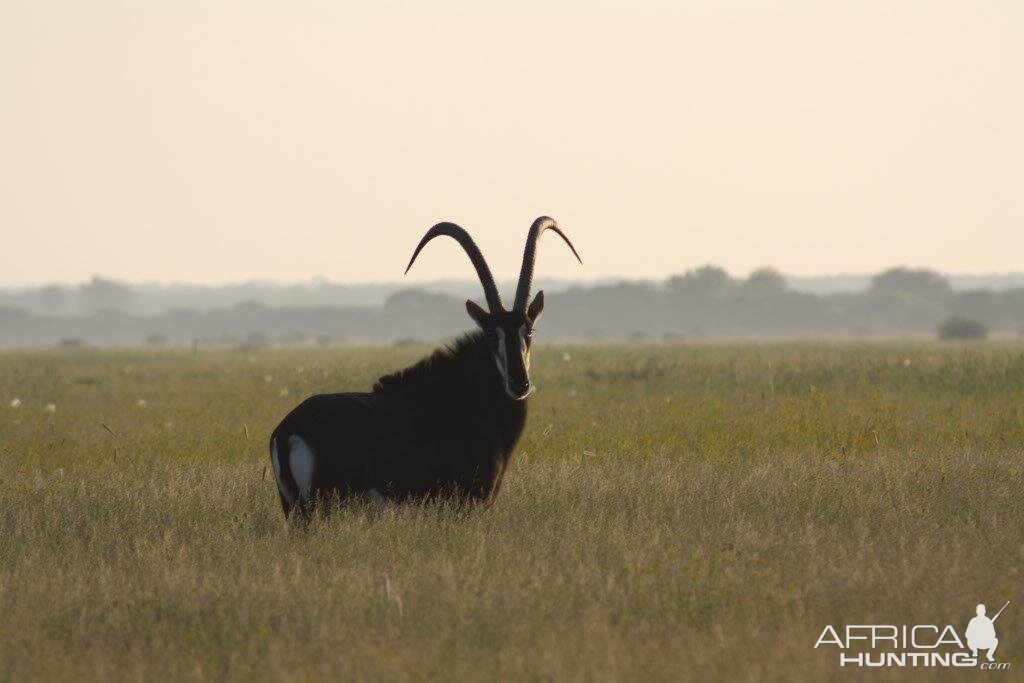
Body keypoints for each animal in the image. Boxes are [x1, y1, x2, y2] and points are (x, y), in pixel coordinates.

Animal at [268, 216, 581, 516]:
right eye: (493, 335)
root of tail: (288, 431)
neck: (467, 398)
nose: (519, 383)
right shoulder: (465, 504)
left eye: (529, 332)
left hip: (296, 511)